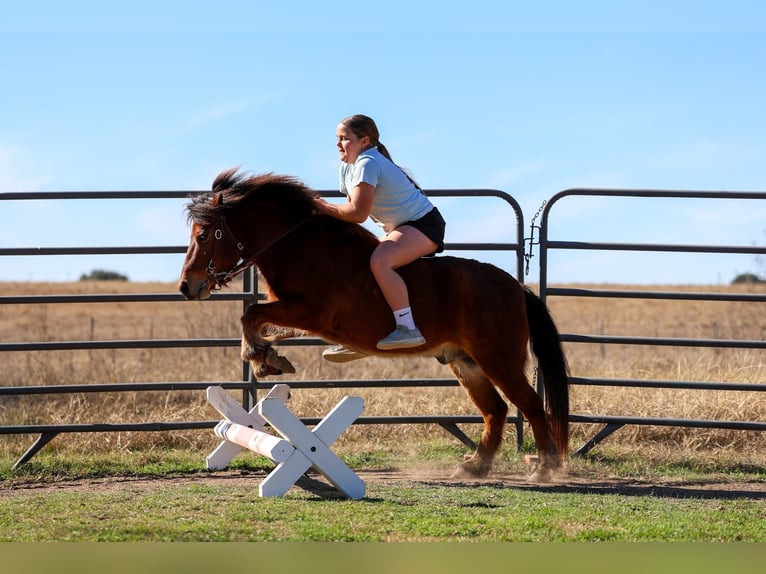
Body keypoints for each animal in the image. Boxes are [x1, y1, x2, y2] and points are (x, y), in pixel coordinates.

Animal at [178, 168, 570, 482]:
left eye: (203, 235)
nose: (186, 286)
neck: (298, 246)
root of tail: (516, 287)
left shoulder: (309, 312)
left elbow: (252, 315)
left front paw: (260, 358)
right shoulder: (298, 316)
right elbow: (258, 318)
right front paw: (268, 357)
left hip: (498, 359)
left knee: (530, 405)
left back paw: (544, 468)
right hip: (466, 362)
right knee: (496, 409)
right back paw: (475, 466)